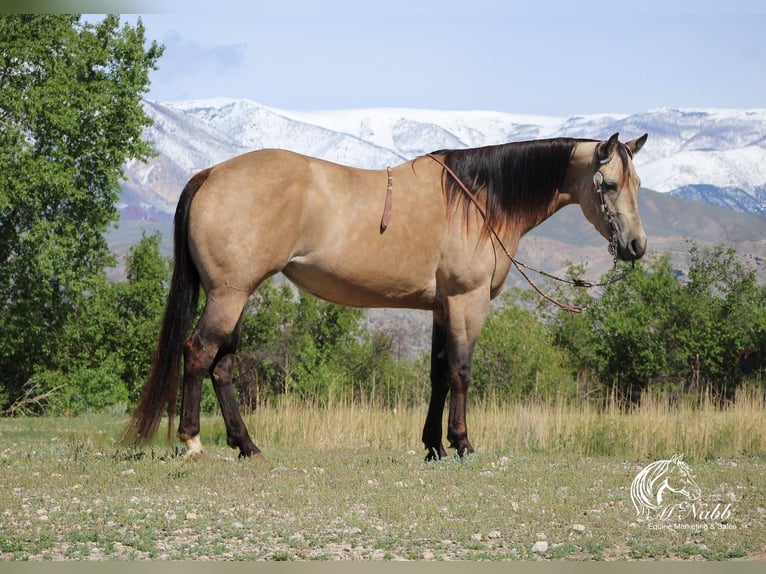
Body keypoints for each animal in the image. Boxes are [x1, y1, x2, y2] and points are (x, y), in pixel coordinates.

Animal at [124, 132, 648, 464]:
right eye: (609, 184)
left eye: (638, 185)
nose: (636, 246)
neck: (479, 201)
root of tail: (211, 173)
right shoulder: (467, 302)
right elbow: (461, 372)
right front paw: (462, 444)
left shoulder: (441, 308)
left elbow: (438, 375)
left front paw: (434, 446)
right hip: (228, 296)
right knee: (198, 354)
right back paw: (194, 443)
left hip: (236, 295)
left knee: (223, 365)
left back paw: (247, 446)